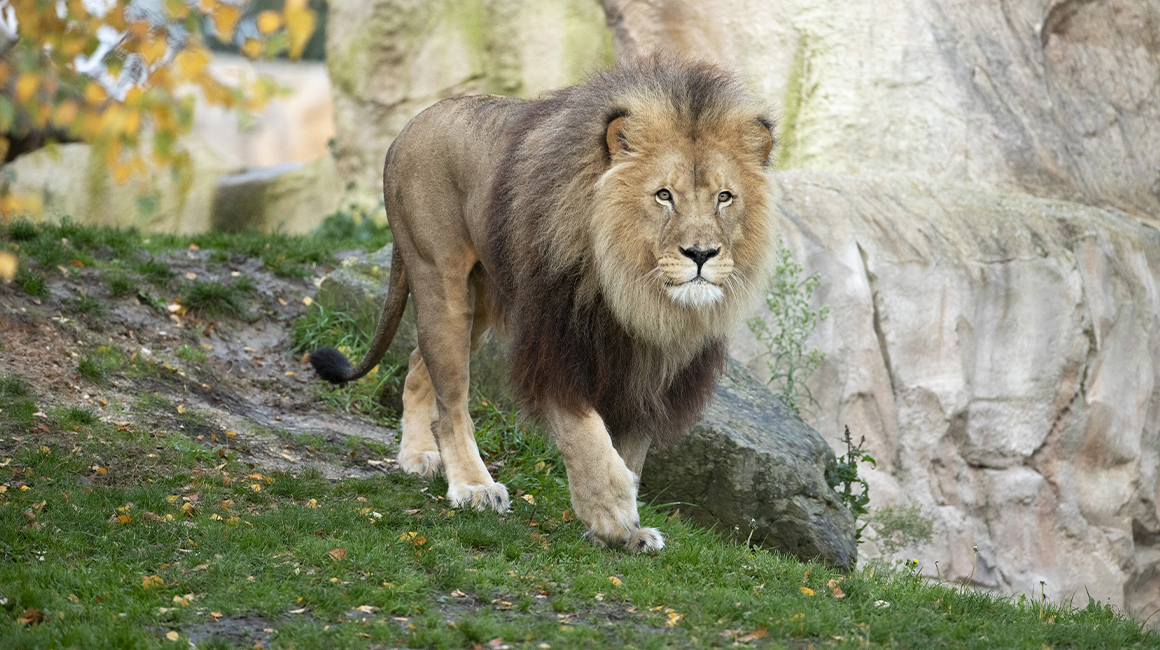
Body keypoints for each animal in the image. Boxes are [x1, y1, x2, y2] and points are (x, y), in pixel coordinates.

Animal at [309, 59, 776, 552]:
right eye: (664, 195)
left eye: (724, 197)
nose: (701, 254)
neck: (634, 292)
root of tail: (410, 124)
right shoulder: (554, 348)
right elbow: (586, 437)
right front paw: (612, 512)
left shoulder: (648, 371)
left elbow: (631, 453)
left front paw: (629, 531)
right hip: (440, 279)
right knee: (452, 404)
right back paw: (473, 486)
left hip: (481, 302)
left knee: (419, 364)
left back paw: (418, 455)